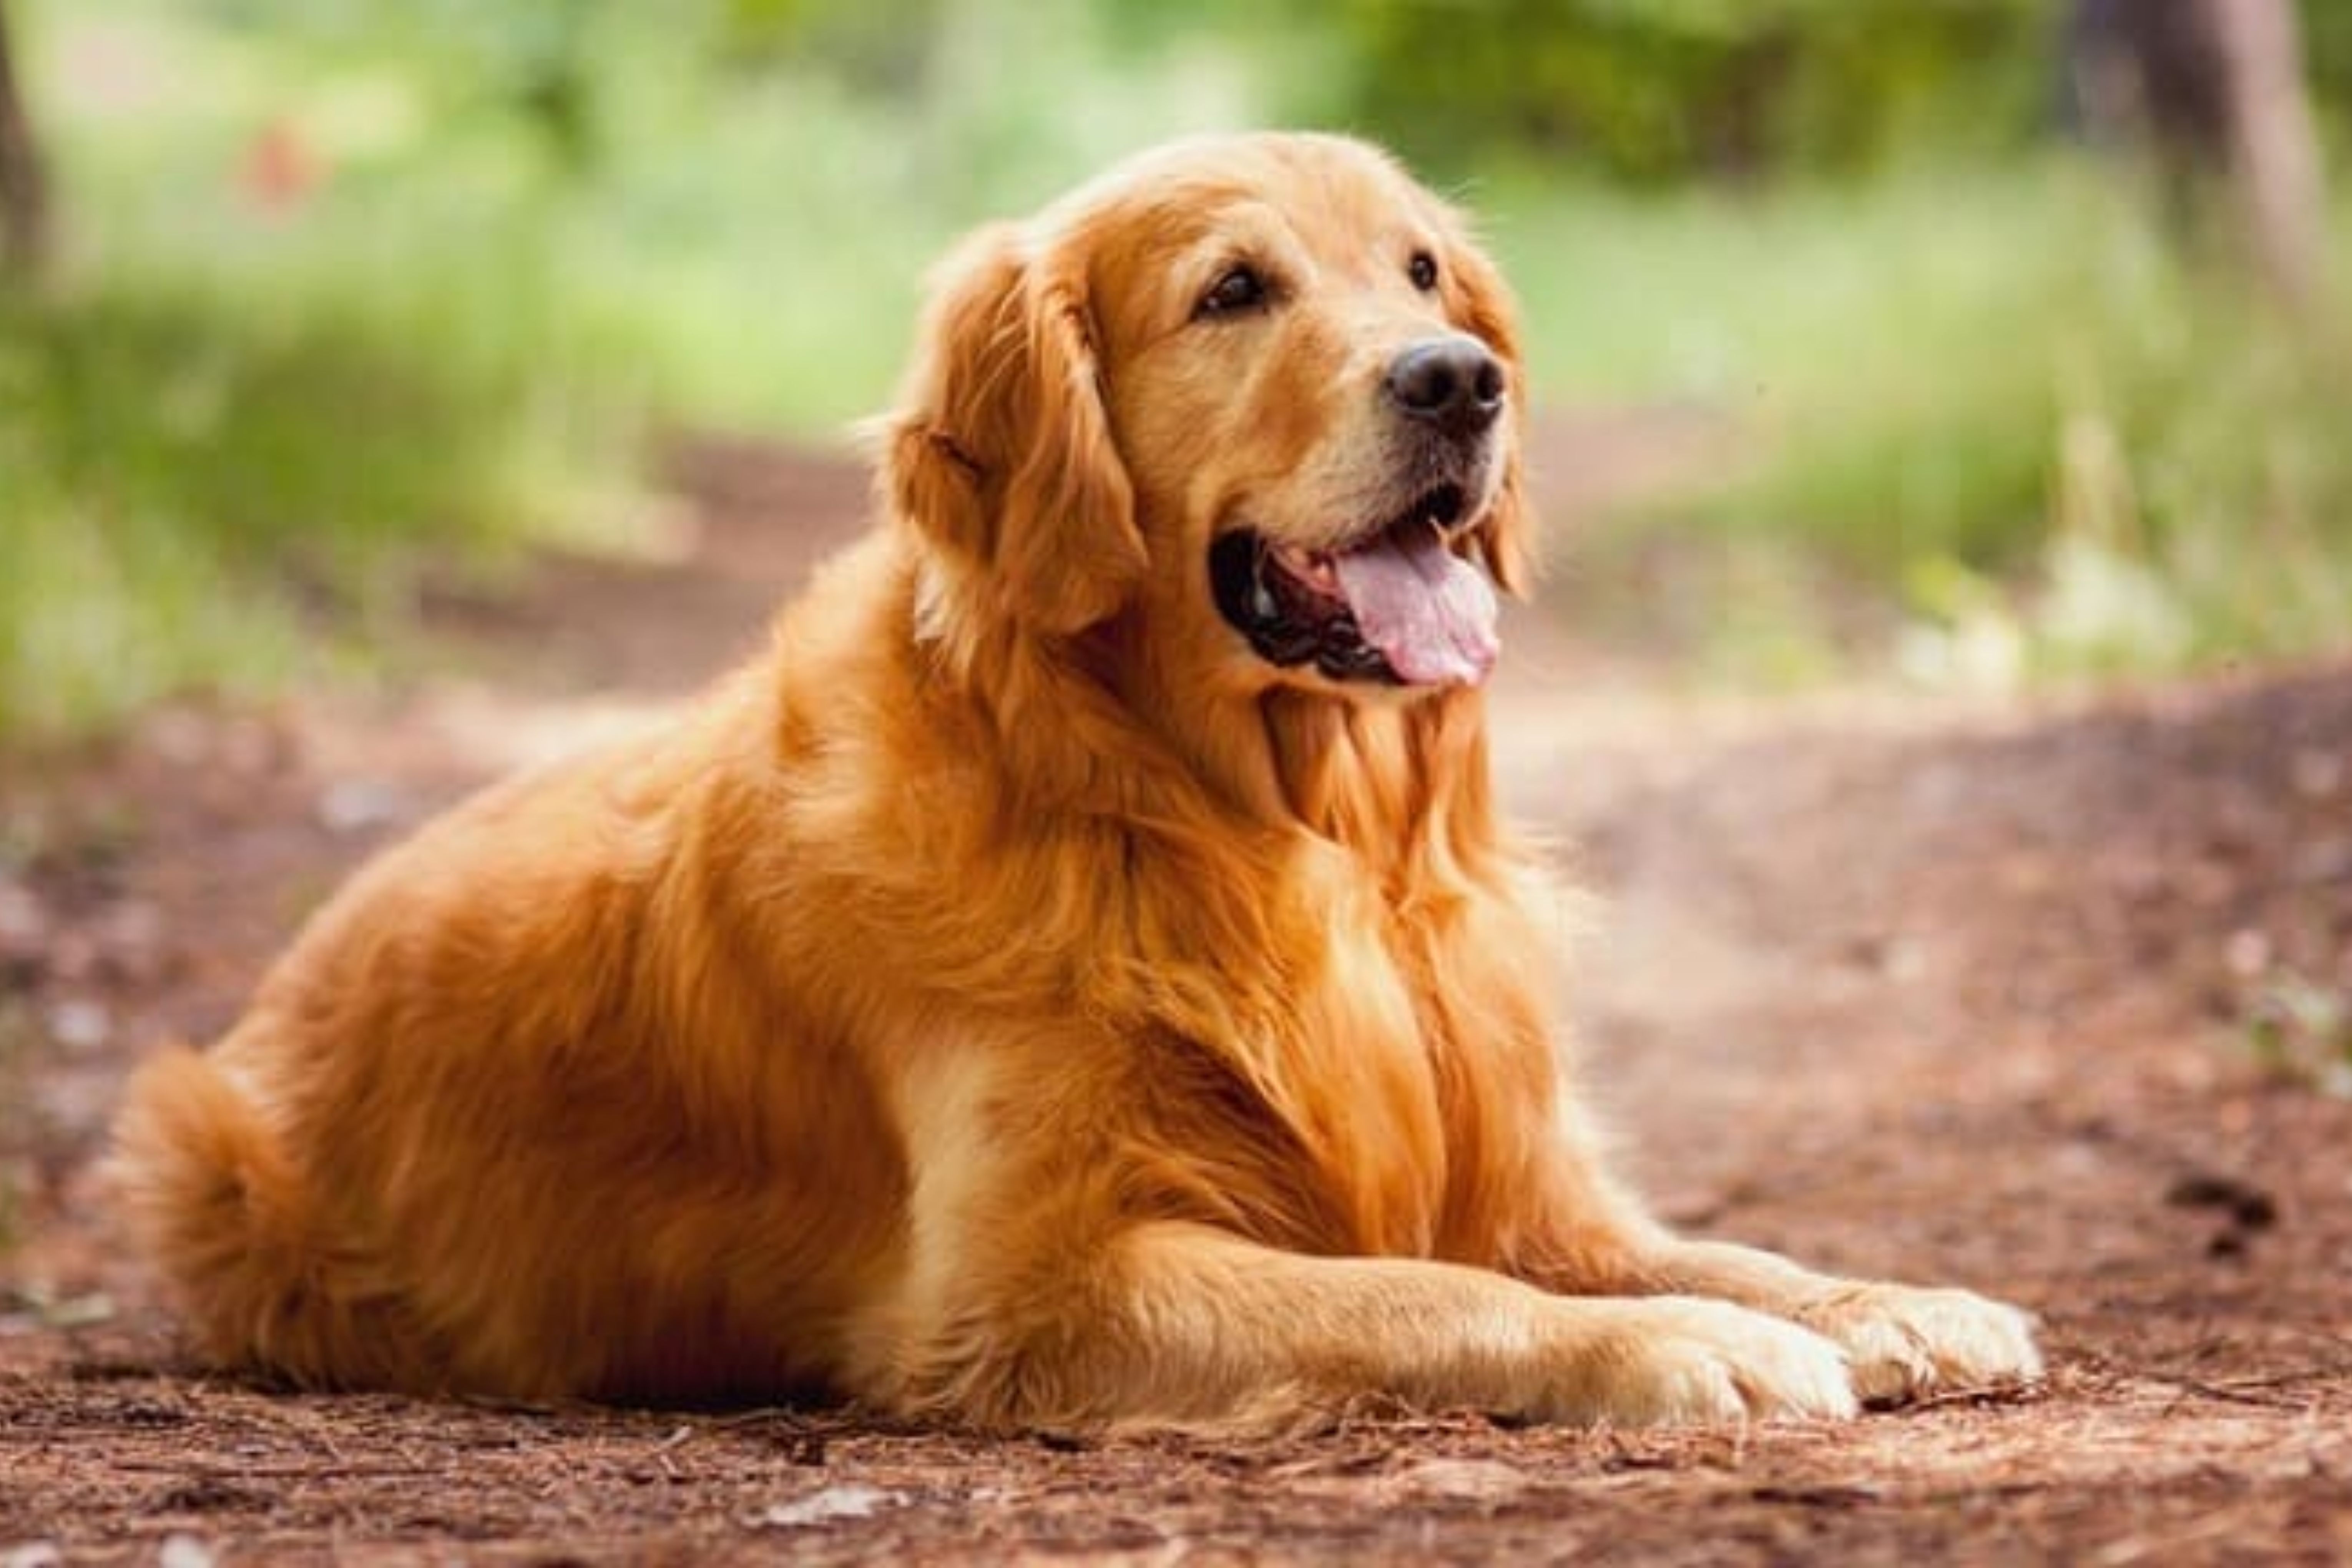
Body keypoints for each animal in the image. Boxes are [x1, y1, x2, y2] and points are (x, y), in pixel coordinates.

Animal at [106, 135, 2041, 1438]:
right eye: (1234, 291)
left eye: (1423, 273)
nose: (1464, 382)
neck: (1264, 830)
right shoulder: (1037, 1285)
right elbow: (1429, 1289)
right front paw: (1673, 1351)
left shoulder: (1532, 1174)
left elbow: (1704, 1244)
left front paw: (1887, 1301)